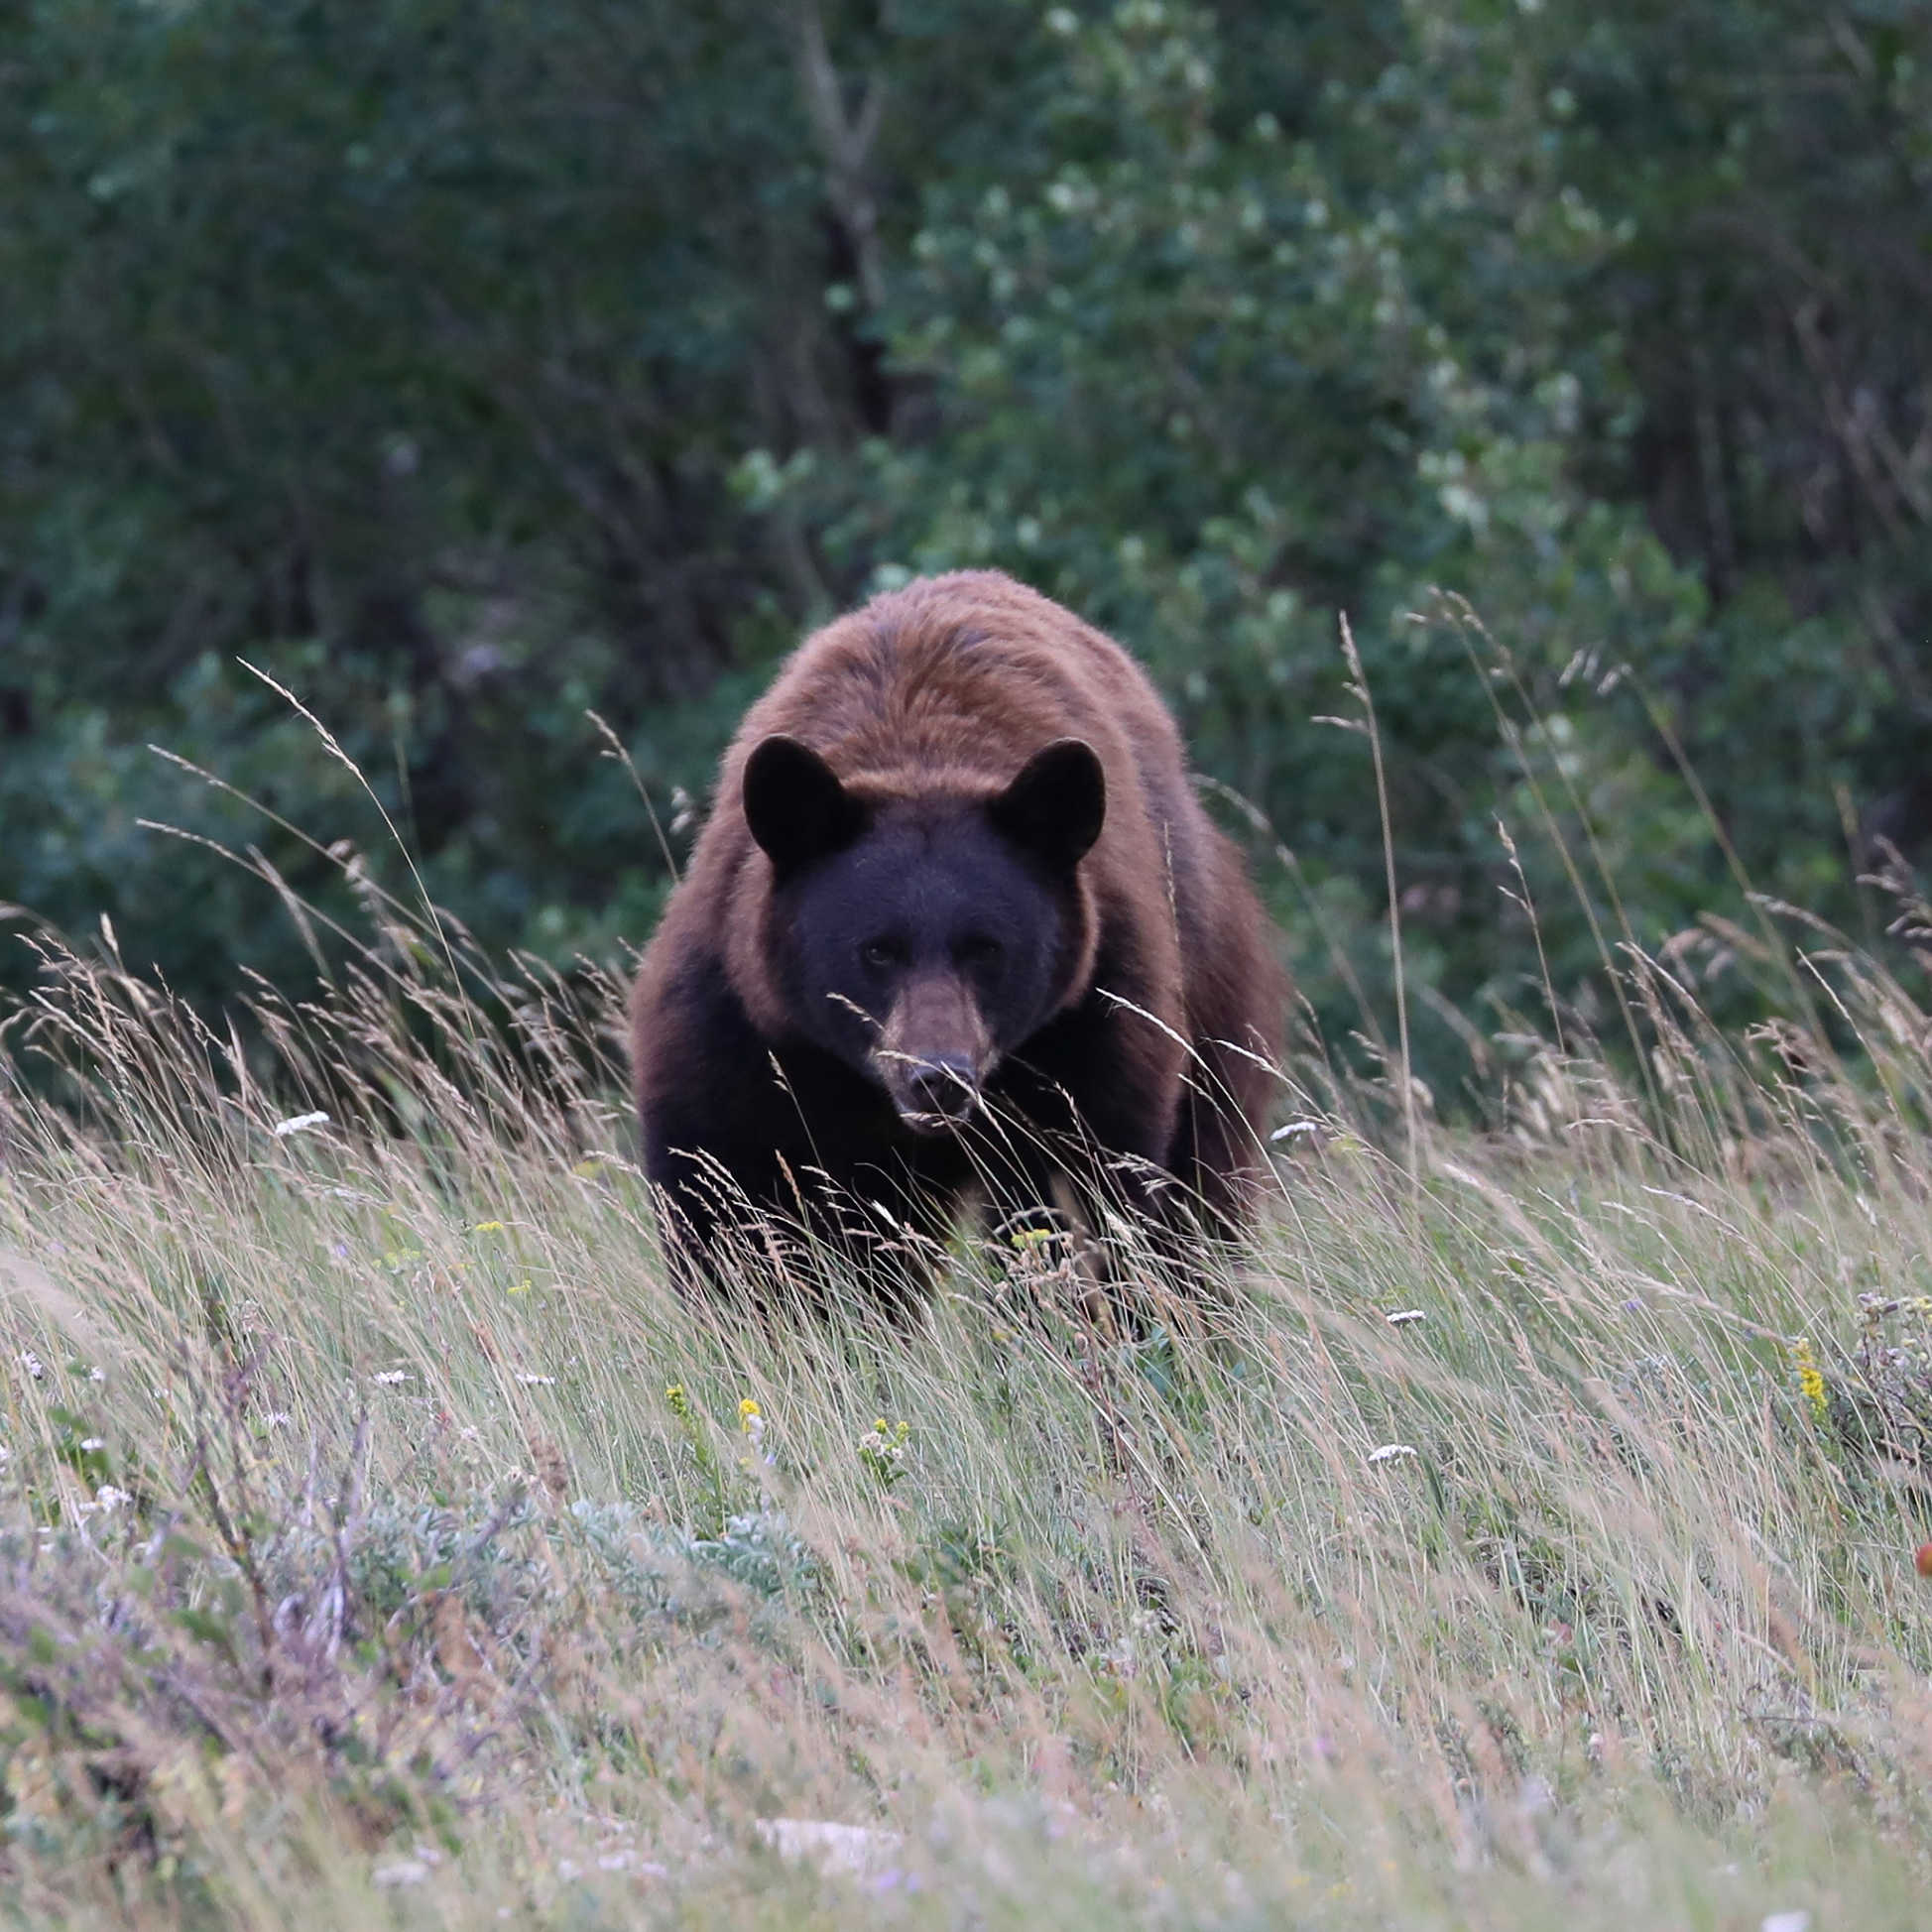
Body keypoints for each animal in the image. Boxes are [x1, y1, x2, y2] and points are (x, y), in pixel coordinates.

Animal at [628, 570, 1287, 1306]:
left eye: (987, 948)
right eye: (876, 949)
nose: (937, 1078)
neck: (917, 746)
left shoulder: (1098, 1018)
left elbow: (1097, 1195)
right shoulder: (741, 1024)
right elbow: (727, 1196)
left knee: (1197, 1189)